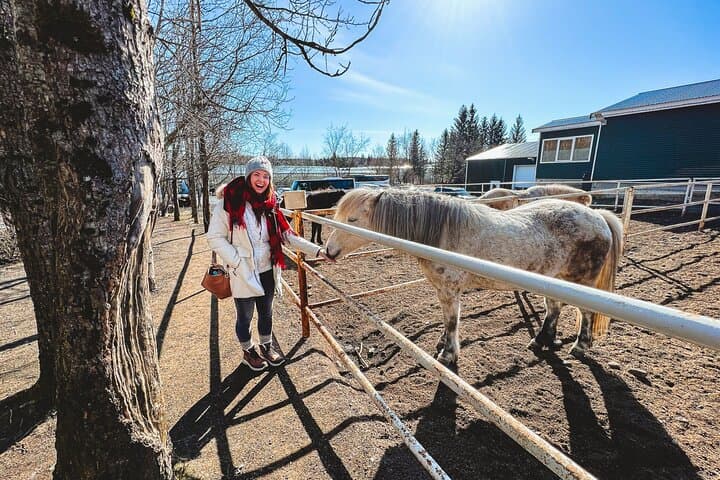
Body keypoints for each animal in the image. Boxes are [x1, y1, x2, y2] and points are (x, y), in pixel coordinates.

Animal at [325, 188, 623, 365]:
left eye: (352, 220)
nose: (328, 251)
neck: (441, 234)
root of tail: (597, 216)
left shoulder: (450, 290)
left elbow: (452, 321)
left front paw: (447, 355)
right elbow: (447, 321)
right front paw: (442, 344)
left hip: (580, 283)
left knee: (585, 313)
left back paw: (580, 346)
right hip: (555, 279)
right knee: (554, 308)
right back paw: (541, 340)